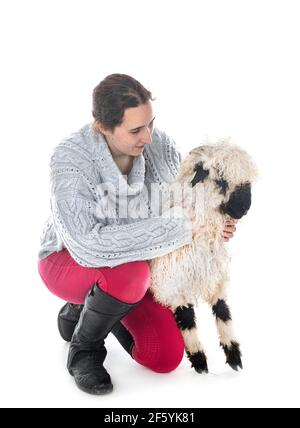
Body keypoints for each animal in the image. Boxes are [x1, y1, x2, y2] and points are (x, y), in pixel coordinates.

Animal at [149, 140, 258, 372]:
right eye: (221, 180)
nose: (244, 208)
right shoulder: (173, 287)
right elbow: (187, 321)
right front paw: (200, 362)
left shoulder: (216, 280)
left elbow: (224, 313)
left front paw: (234, 356)